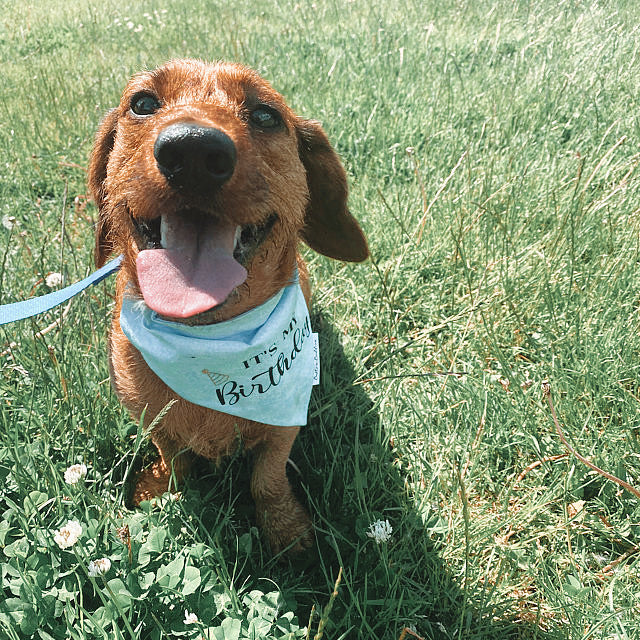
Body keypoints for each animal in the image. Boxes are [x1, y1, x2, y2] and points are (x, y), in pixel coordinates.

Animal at [90, 60, 370, 556]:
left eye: (265, 115)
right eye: (142, 103)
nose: (192, 151)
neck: (207, 339)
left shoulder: (283, 427)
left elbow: (267, 479)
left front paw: (284, 529)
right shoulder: (152, 419)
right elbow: (173, 457)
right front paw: (160, 487)